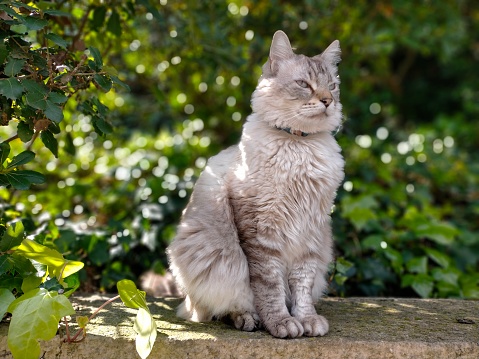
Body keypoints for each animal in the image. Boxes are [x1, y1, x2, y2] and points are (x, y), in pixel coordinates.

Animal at [168, 31, 344, 340]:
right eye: (304, 85)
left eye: (332, 87)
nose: (327, 101)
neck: (299, 144)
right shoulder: (262, 232)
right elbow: (270, 287)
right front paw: (283, 324)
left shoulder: (310, 232)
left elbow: (302, 285)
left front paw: (307, 320)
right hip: (214, 260)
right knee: (223, 307)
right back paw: (248, 319)